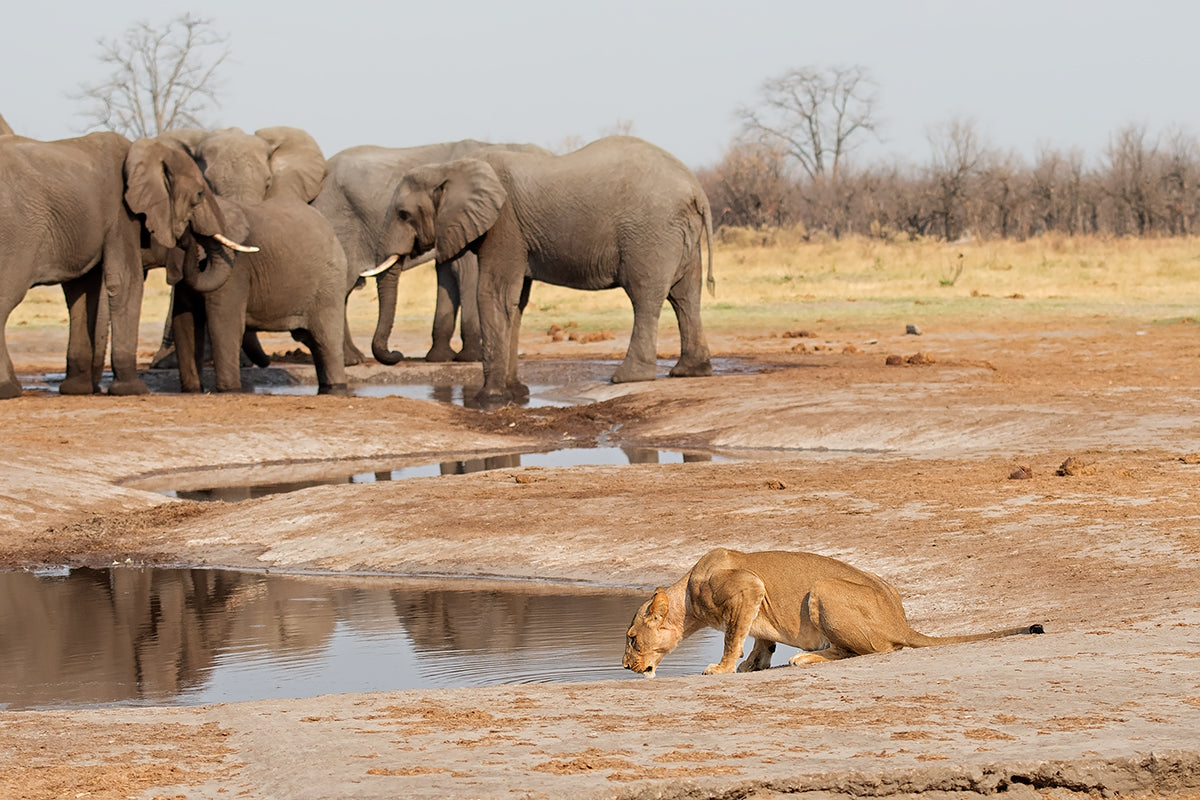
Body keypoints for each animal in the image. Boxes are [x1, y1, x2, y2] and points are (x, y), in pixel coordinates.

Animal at [623, 548, 1043, 676]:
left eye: (631, 639)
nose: (625, 666)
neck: (687, 599)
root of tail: (900, 620)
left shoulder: (748, 587)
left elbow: (732, 636)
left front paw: (723, 668)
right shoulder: (756, 600)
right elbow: (759, 639)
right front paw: (752, 665)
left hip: (822, 589)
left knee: (869, 650)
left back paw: (807, 658)